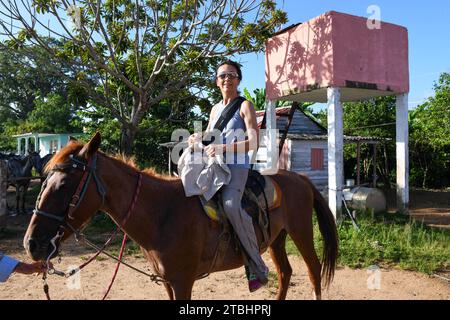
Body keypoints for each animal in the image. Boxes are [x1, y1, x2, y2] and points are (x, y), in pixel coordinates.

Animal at [22, 132, 336, 300]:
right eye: (45, 180)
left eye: (64, 185)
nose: (31, 244)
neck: (162, 213)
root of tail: (300, 179)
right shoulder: (168, 282)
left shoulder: (184, 281)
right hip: (276, 240)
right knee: (285, 273)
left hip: (301, 233)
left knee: (313, 271)